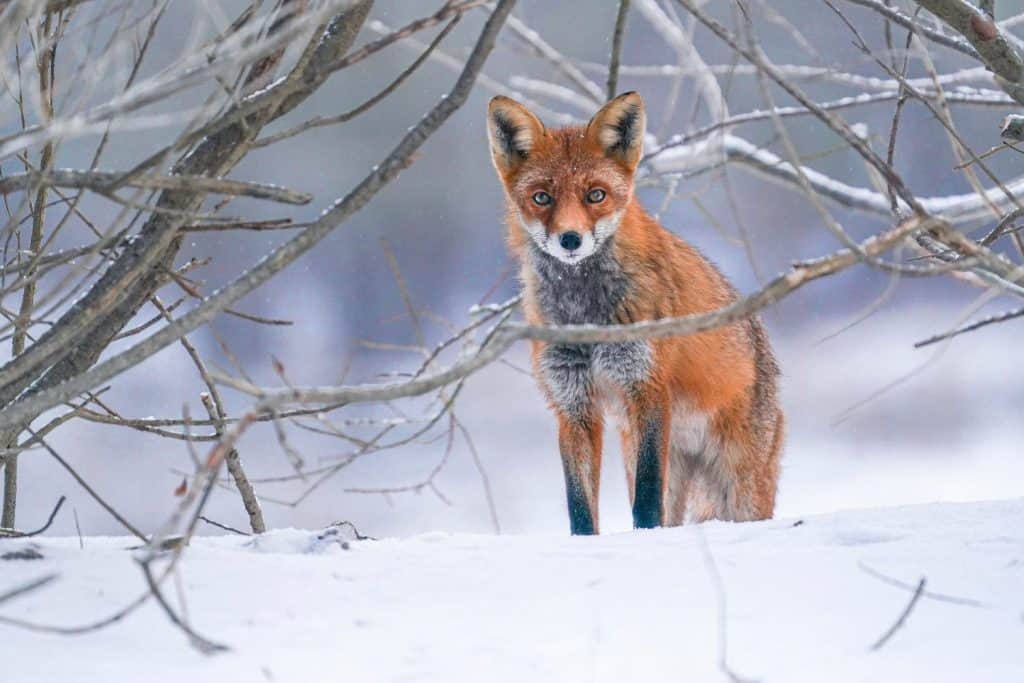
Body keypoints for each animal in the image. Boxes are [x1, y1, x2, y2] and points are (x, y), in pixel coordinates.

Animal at [485, 91, 784, 535]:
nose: (570, 239)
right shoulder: (572, 404)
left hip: (742, 488)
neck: (585, 314)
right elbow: (580, 506)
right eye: (542, 197)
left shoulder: (647, 388)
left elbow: (646, 501)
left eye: (596, 195)